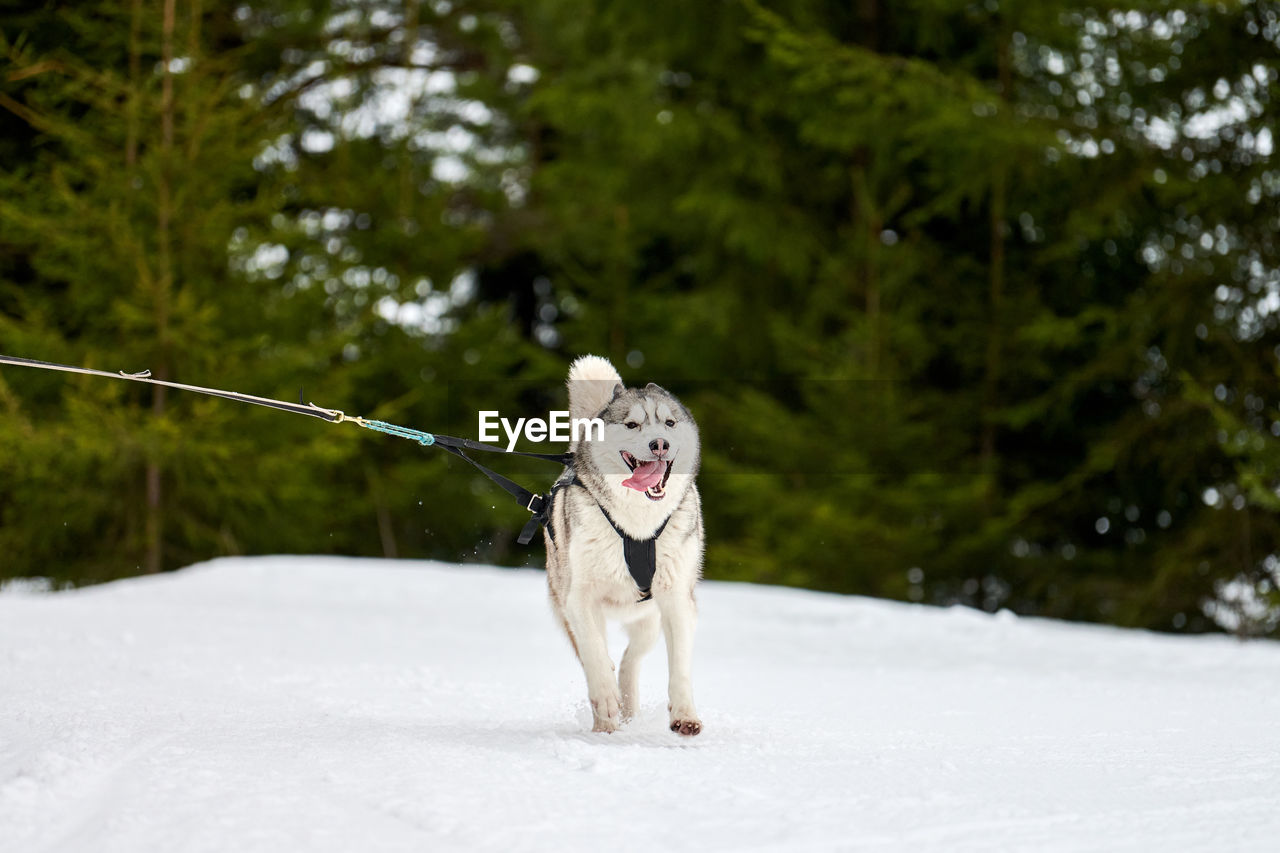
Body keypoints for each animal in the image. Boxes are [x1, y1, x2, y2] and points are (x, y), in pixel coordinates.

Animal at [537, 350, 701, 732]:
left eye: (669, 423)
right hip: (571, 610)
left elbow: (680, 666)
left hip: (648, 619)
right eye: (632, 425)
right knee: (599, 658)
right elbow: (596, 656)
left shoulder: (676, 599)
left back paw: (626, 706)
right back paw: (606, 720)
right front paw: (606, 700)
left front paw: (685, 715)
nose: (660, 444)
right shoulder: (579, 599)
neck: (638, 526)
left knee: (630, 660)